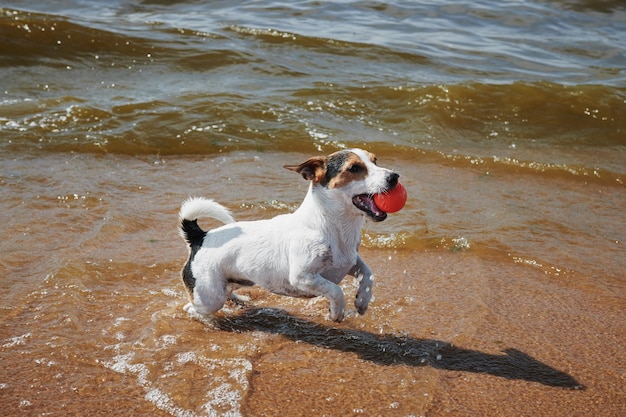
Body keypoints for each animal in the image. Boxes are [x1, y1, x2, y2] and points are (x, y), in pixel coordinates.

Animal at [178, 150, 398, 322]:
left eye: (375, 160)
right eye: (354, 168)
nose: (394, 176)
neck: (333, 227)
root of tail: (200, 237)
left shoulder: (349, 261)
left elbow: (368, 274)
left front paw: (362, 300)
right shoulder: (302, 277)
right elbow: (336, 290)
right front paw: (337, 312)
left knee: (228, 291)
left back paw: (240, 300)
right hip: (209, 297)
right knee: (192, 308)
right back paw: (204, 318)